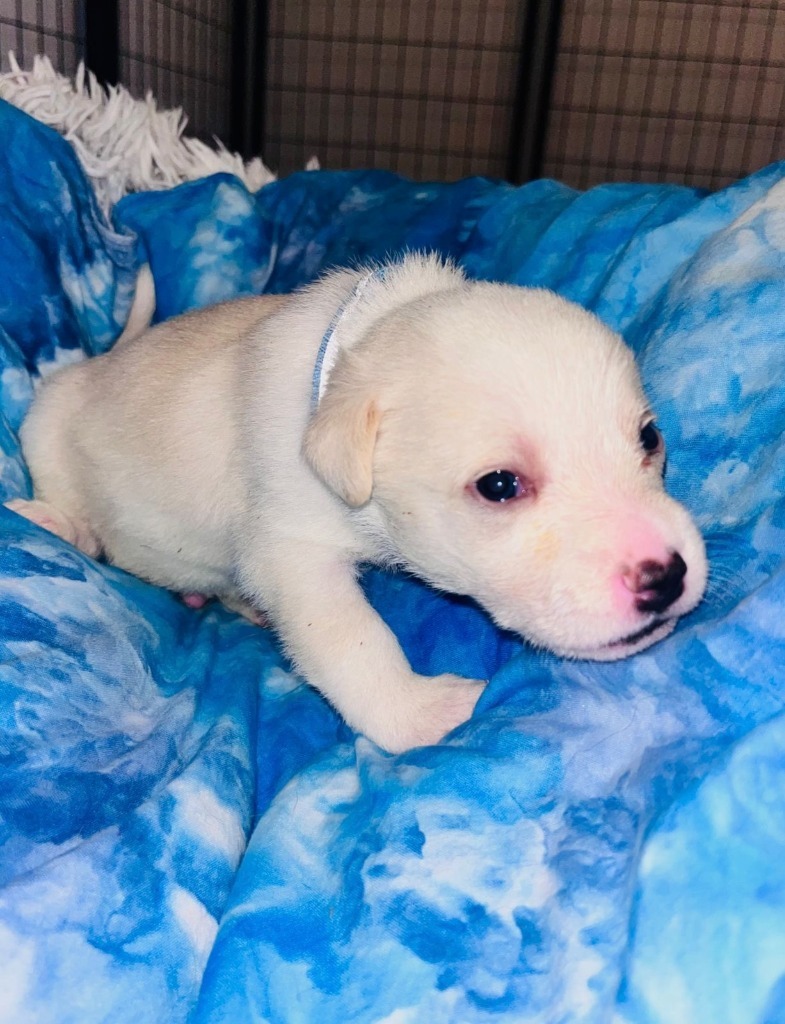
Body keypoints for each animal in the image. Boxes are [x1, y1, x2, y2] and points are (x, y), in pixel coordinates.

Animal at [6, 256, 704, 753]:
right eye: (500, 485)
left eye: (649, 438)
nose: (666, 577)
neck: (351, 351)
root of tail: (106, 359)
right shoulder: (294, 557)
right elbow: (354, 641)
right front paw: (423, 712)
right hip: (48, 420)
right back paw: (56, 521)